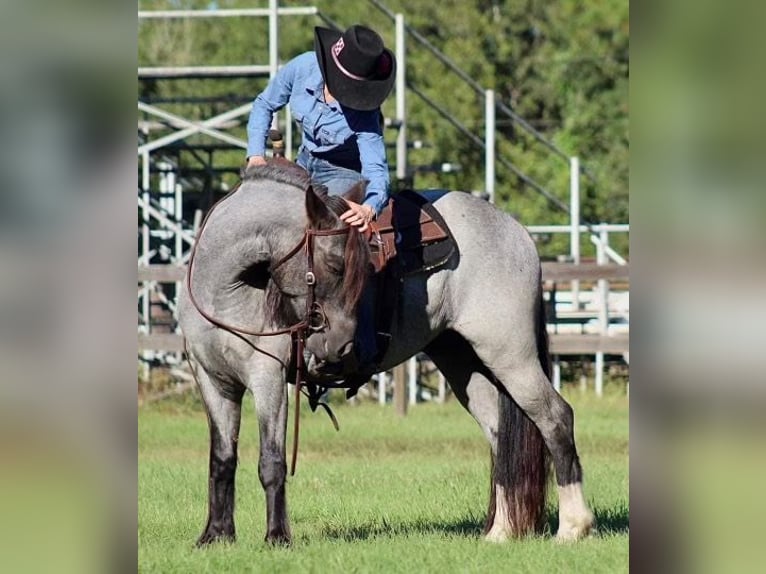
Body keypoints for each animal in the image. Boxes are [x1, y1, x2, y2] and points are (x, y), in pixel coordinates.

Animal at [177, 162, 596, 548]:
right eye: (335, 263)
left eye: (357, 266)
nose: (339, 346)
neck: (228, 288)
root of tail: (516, 231)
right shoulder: (212, 380)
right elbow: (222, 459)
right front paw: (215, 536)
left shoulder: (268, 378)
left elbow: (271, 460)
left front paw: (277, 538)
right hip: (463, 361)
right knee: (499, 435)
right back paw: (501, 532)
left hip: (511, 355)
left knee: (556, 418)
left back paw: (572, 528)